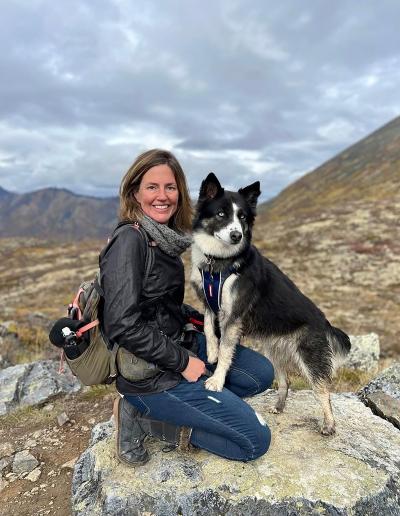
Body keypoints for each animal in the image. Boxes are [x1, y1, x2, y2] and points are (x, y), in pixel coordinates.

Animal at [191, 173, 350, 436]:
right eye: (221, 214)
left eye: (242, 217)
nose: (237, 235)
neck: (221, 262)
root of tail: (324, 321)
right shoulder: (209, 302)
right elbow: (207, 328)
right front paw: (211, 351)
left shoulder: (233, 316)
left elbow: (226, 350)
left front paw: (216, 381)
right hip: (273, 351)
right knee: (285, 381)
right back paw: (279, 406)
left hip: (309, 356)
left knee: (322, 389)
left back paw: (329, 424)